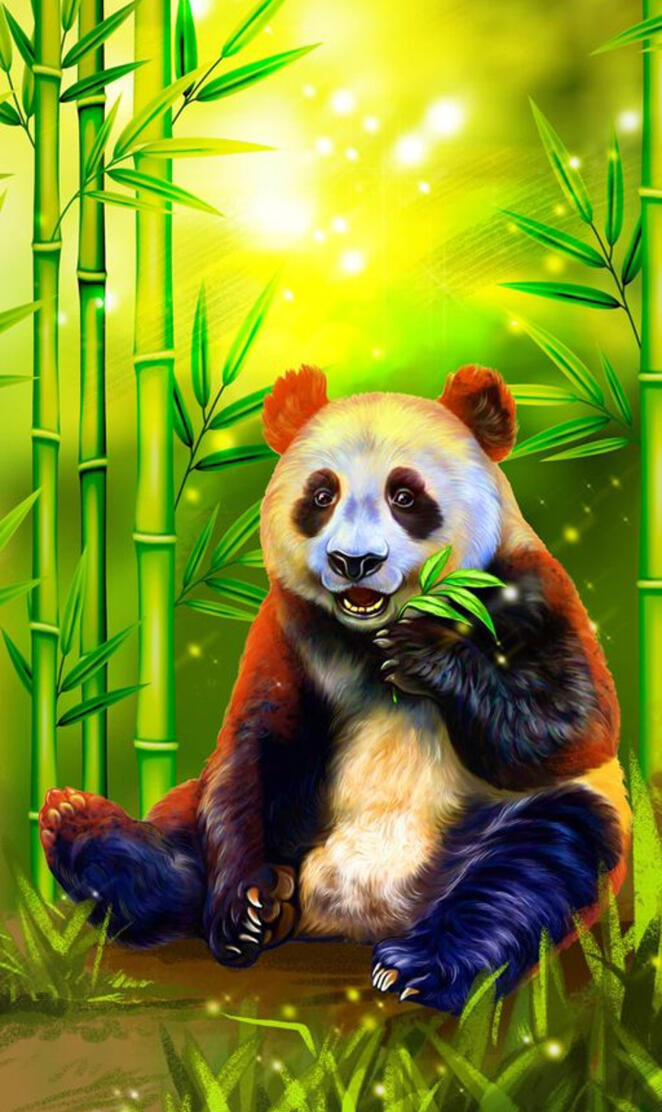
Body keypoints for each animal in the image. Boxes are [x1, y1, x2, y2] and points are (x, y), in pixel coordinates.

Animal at [39, 364, 630, 1014]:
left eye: (405, 496)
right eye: (322, 495)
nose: (355, 562)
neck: (369, 632)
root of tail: (353, 915)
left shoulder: (530, 588)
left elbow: (573, 723)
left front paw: (425, 655)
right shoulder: (287, 628)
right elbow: (254, 745)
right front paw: (242, 910)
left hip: (518, 826)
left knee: (536, 865)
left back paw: (420, 966)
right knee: (187, 843)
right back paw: (86, 830)